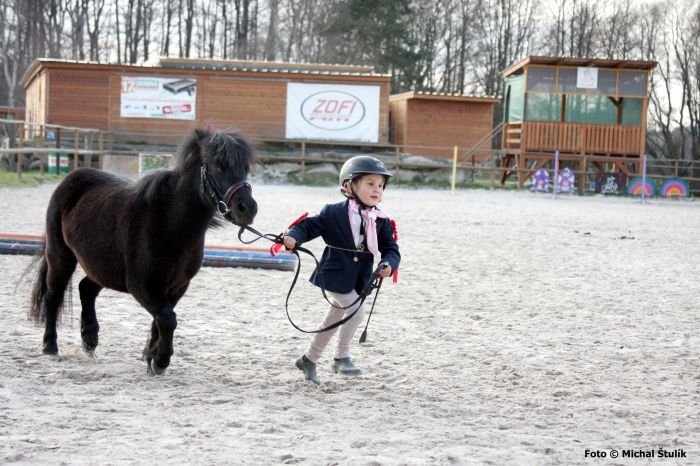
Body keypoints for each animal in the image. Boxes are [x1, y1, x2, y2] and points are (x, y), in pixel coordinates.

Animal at [28, 127, 258, 374]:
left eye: (245, 168)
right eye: (219, 166)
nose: (247, 208)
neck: (169, 223)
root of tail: (71, 178)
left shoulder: (177, 286)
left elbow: (161, 319)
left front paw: (151, 356)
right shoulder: (141, 286)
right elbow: (167, 318)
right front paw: (160, 360)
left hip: (102, 267)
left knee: (86, 289)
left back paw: (89, 340)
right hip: (60, 256)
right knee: (54, 295)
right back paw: (50, 346)